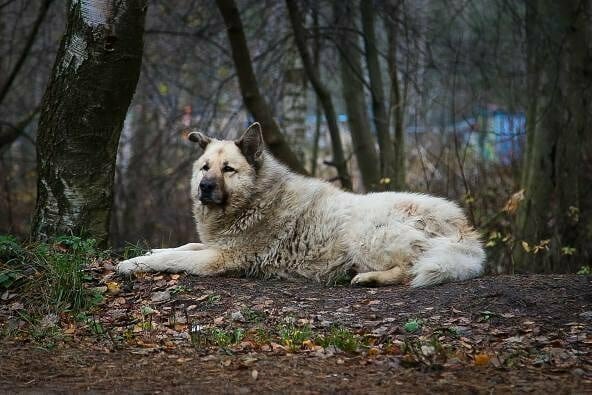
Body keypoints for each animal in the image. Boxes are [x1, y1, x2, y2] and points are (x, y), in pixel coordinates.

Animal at [117, 123, 486, 288]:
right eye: (204, 167)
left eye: (228, 169)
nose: (204, 188)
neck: (254, 199)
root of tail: (464, 228)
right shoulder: (213, 245)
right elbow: (183, 246)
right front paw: (145, 252)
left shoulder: (220, 258)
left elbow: (175, 257)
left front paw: (132, 264)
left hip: (363, 231)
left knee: (410, 269)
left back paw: (368, 277)